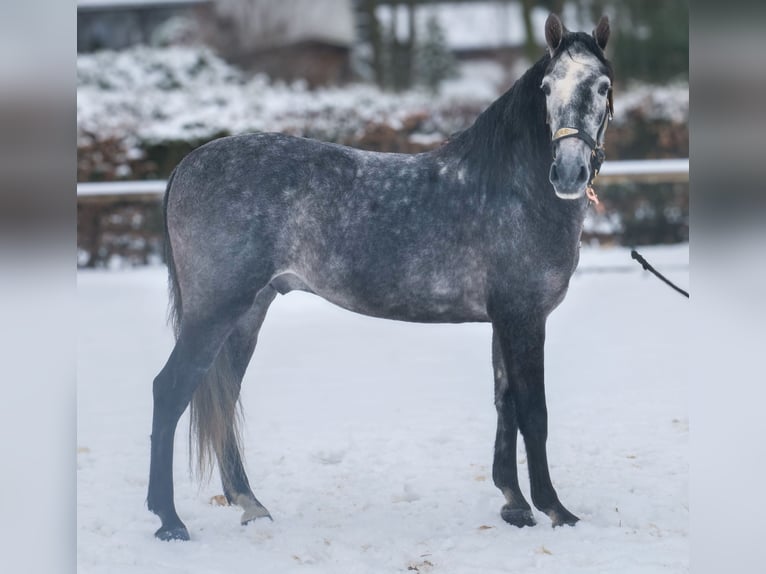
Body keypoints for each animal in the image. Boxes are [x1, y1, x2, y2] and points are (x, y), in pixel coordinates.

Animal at [147, 13, 614, 541]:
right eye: (547, 87)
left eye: (602, 86)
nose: (569, 173)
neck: (512, 188)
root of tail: (187, 165)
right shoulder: (524, 319)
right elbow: (534, 413)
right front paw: (556, 509)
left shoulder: (505, 322)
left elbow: (505, 403)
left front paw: (514, 504)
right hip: (214, 312)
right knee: (169, 392)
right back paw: (170, 521)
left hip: (247, 314)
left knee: (223, 399)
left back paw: (249, 504)